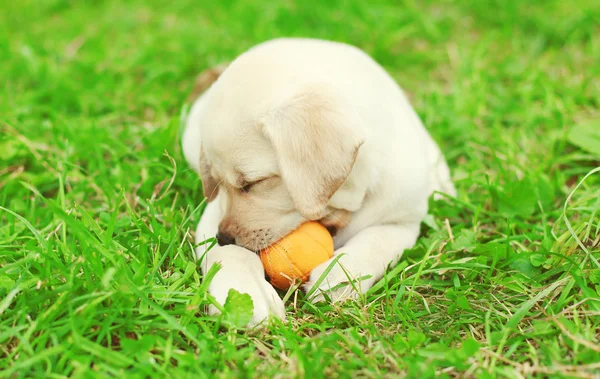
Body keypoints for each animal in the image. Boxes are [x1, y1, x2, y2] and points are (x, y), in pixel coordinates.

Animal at [183, 37, 454, 326]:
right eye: (218, 182)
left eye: (253, 183)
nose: (223, 237)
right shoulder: (212, 215)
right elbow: (227, 255)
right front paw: (244, 292)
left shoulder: (403, 221)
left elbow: (375, 241)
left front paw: (339, 278)